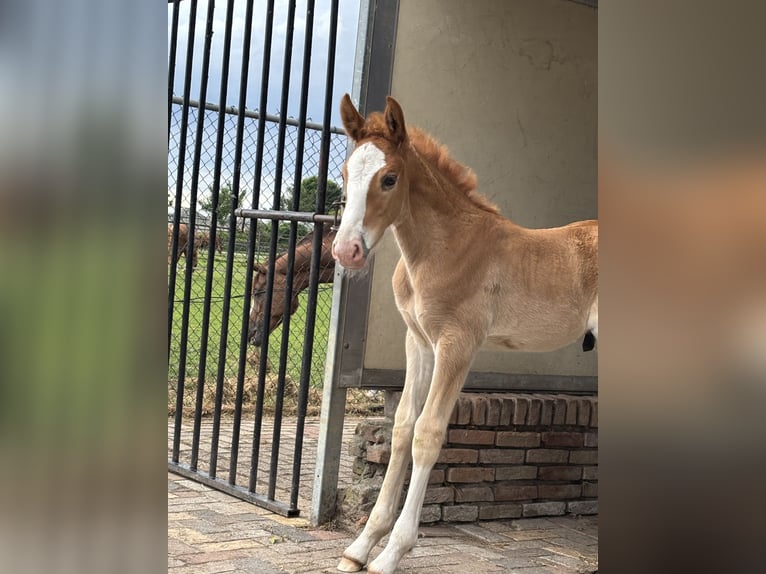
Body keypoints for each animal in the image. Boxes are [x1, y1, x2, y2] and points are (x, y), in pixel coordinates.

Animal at [331, 94, 598, 574]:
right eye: (345, 173)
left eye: (389, 178)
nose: (347, 251)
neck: (445, 247)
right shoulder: (418, 343)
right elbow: (402, 428)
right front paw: (360, 546)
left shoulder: (457, 344)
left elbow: (428, 433)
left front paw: (393, 552)